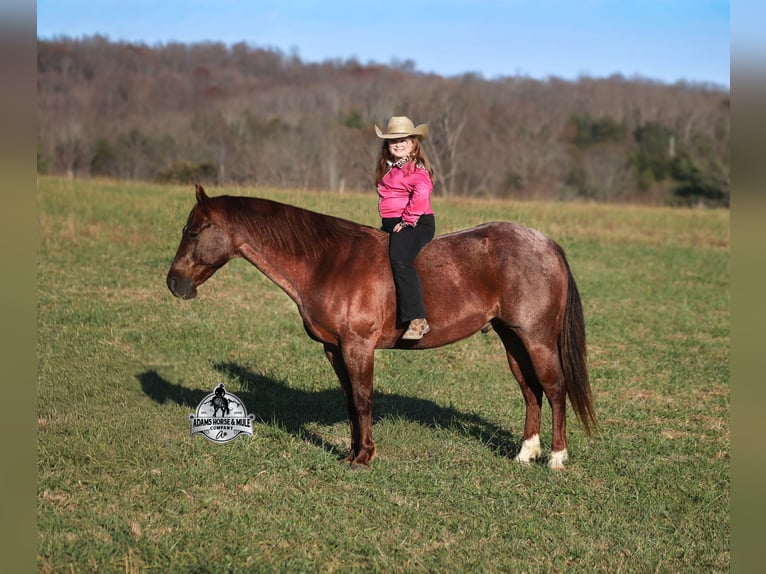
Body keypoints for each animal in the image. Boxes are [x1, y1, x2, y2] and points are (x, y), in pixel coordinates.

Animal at [167, 185, 596, 469]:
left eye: (193, 231)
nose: (174, 283)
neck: (329, 262)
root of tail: (547, 244)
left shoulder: (358, 346)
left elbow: (362, 399)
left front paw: (364, 458)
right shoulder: (334, 349)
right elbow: (349, 402)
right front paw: (352, 452)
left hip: (537, 338)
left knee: (554, 389)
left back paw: (556, 458)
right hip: (512, 338)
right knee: (530, 391)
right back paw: (525, 454)